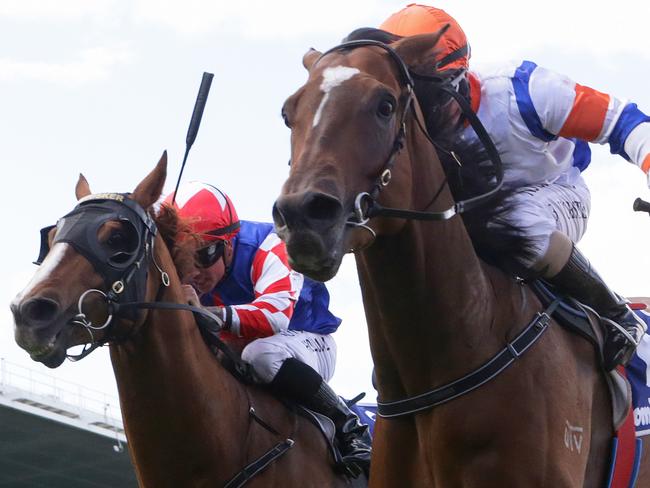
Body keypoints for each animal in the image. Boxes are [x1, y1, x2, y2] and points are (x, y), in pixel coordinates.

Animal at [11, 153, 360, 488]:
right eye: (51, 237)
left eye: (118, 238)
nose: (28, 311)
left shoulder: (273, 250)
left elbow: (273, 308)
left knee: (268, 356)